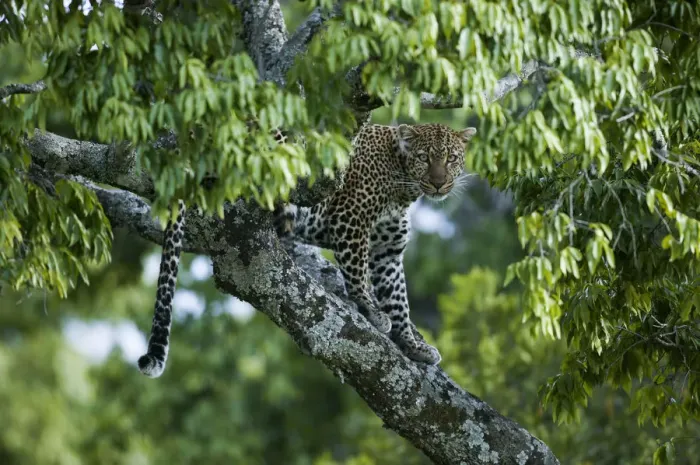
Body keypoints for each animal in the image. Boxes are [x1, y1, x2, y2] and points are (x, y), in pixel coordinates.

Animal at [274, 123, 477, 365]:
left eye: (451, 158)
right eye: (423, 157)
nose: (439, 184)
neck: (403, 191)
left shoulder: (387, 251)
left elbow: (397, 298)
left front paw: (412, 345)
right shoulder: (351, 217)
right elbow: (357, 272)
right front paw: (370, 310)